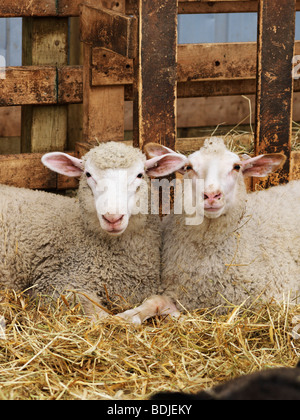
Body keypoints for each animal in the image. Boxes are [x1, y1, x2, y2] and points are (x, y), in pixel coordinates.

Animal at [119, 138, 300, 324]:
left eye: (236, 167)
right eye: (188, 167)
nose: (211, 195)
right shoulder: (176, 291)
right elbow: (153, 301)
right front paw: (127, 316)